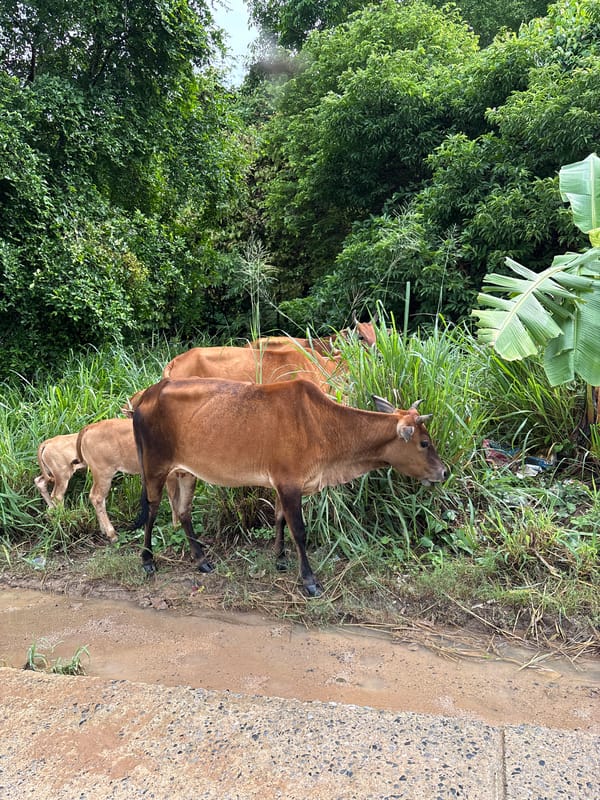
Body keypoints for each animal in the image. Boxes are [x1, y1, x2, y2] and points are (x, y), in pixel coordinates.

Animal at [132, 377, 447, 596]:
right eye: (424, 443)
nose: (444, 471)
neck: (324, 426)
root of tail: (148, 393)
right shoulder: (289, 484)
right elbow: (300, 531)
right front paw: (309, 581)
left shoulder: (284, 486)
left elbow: (279, 519)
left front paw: (280, 560)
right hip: (155, 466)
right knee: (152, 510)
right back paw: (147, 561)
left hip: (186, 472)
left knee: (184, 512)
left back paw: (202, 561)